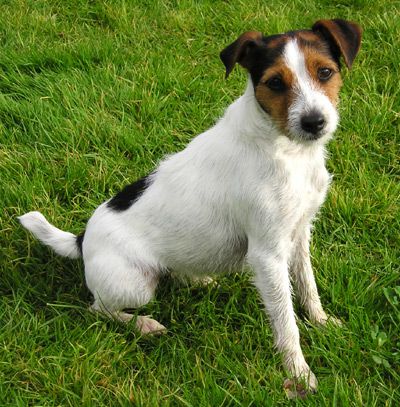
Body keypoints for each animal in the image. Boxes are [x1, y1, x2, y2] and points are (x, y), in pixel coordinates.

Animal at [18, 19, 362, 396]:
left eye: (325, 72)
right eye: (275, 83)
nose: (314, 122)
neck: (286, 149)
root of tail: (81, 240)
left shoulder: (299, 233)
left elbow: (307, 285)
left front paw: (322, 322)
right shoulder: (267, 254)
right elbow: (285, 322)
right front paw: (299, 373)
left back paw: (198, 279)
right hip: (134, 285)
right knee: (98, 308)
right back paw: (143, 324)